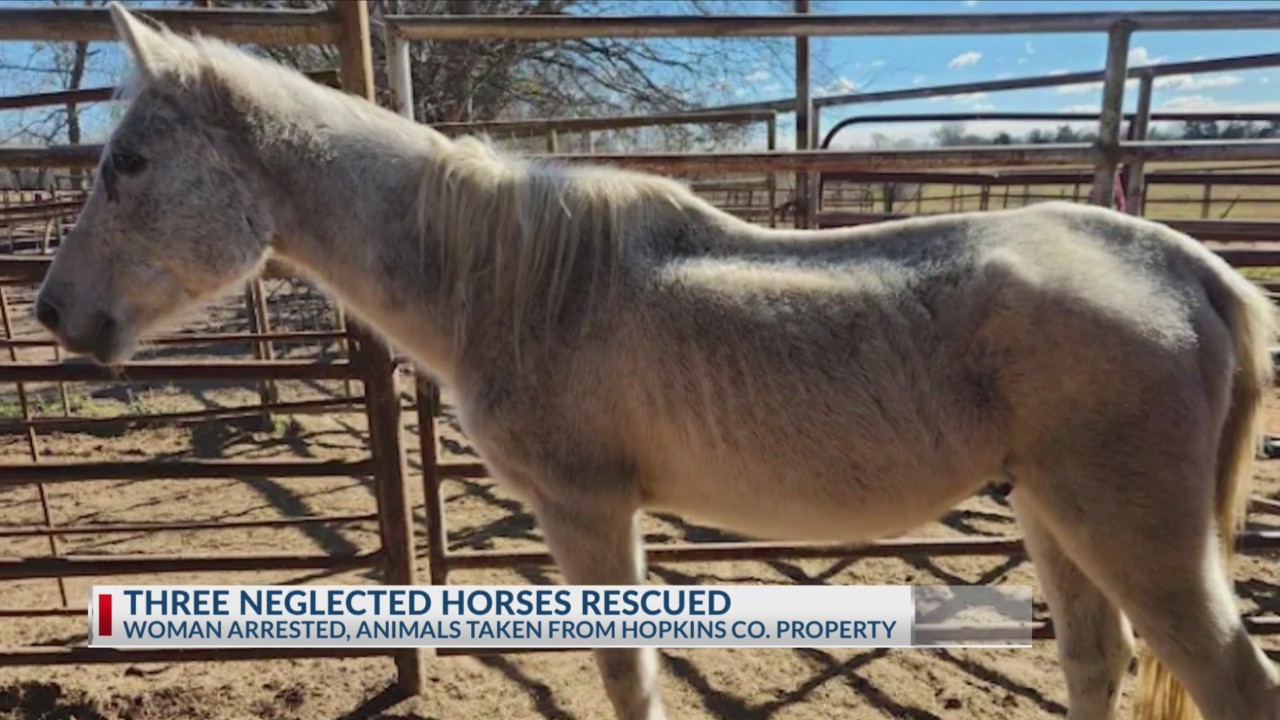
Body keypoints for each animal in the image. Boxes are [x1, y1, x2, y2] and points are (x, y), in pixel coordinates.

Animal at [33, 4, 1280, 719]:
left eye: (129, 162)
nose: (52, 312)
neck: (514, 281)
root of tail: (1182, 264)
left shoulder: (586, 509)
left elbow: (625, 674)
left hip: (1132, 534)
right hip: (1054, 517)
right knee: (1092, 663)